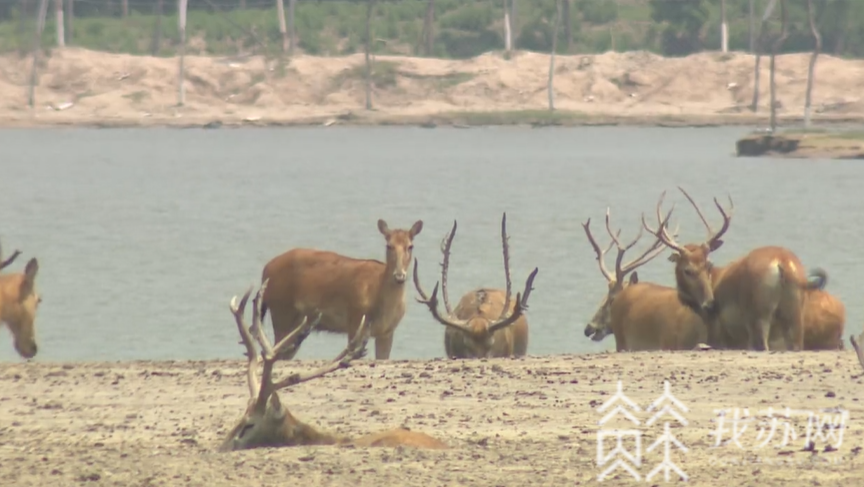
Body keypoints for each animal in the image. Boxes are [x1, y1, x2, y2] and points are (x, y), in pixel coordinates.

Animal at [260, 219, 423, 360]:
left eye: (410, 246)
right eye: (389, 245)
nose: (399, 276)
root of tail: (265, 270)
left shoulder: (387, 331)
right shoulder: (355, 321)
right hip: (281, 311)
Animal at [642, 187, 826, 352]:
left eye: (708, 265)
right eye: (687, 270)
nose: (711, 304)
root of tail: (783, 262)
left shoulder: (717, 331)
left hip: (759, 313)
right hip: (795, 311)